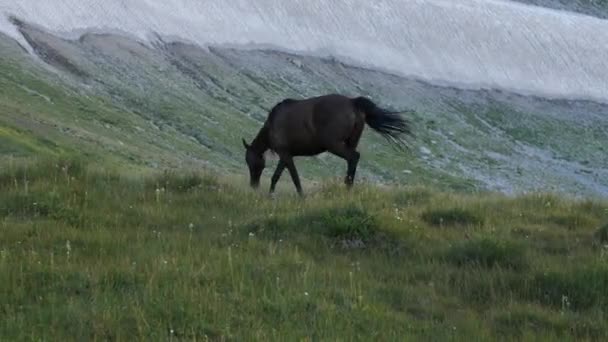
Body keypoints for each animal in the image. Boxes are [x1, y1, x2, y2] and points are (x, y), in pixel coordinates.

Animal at [242, 93, 414, 195]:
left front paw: (298, 196)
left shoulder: (285, 154)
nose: (253, 185)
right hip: (350, 142)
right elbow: (279, 176)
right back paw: (348, 187)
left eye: (251, 162)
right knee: (353, 160)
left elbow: (291, 177)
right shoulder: (286, 156)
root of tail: (352, 102)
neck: (272, 124)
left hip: (334, 145)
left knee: (353, 157)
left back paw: (347, 188)